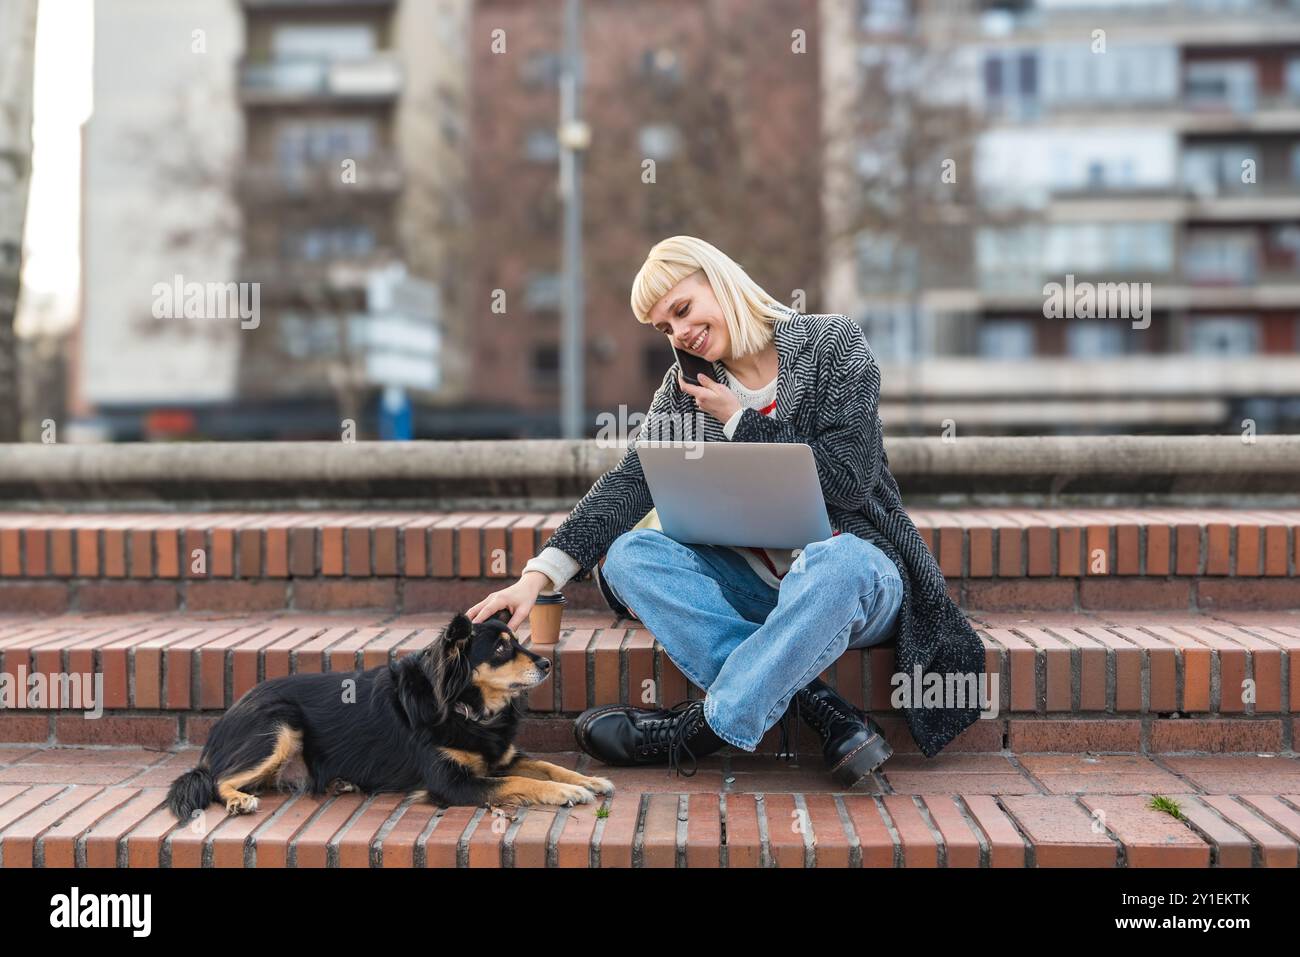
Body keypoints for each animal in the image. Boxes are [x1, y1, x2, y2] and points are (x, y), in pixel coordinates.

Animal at [165, 608, 611, 816]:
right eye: (502, 649)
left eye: (517, 641)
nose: (547, 663)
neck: (466, 706)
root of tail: (225, 720)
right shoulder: (451, 782)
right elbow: (521, 781)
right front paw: (567, 792)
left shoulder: (502, 755)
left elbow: (547, 766)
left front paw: (589, 779)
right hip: (280, 725)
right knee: (217, 779)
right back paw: (239, 800)